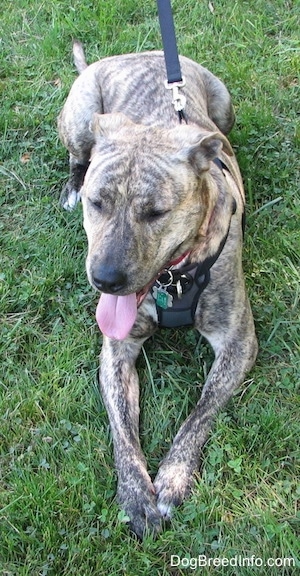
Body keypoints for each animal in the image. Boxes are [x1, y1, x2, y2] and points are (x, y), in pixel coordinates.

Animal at [58, 42, 258, 536]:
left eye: (155, 212)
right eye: (98, 204)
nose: (105, 279)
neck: (172, 277)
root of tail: (134, 53)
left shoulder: (238, 343)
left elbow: (201, 412)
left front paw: (172, 477)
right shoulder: (117, 350)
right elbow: (122, 429)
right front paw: (135, 494)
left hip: (224, 106)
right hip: (83, 116)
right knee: (77, 155)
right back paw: (71, 183)